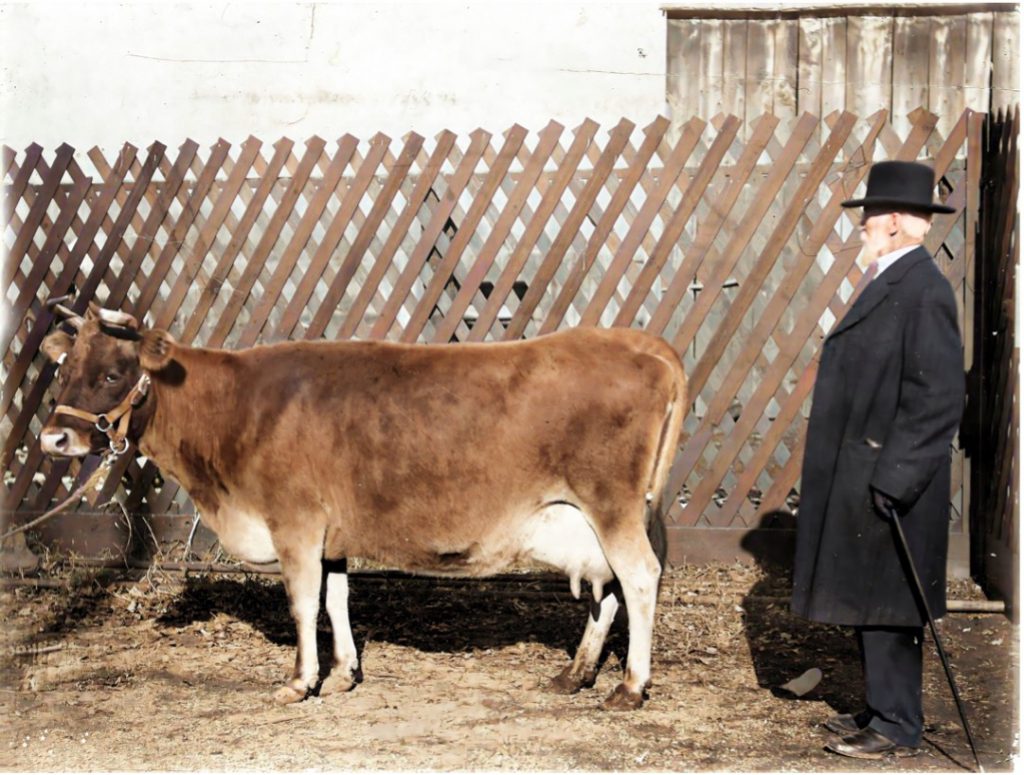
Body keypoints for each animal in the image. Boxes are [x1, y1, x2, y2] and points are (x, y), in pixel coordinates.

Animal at [39, 303, 684, 708]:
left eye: (113, 373)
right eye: (64, 370)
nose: (52, 439)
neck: (237, 409)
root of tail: (638, 343)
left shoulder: (295, 524)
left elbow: (303, 605)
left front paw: (301, 680)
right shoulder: (332, 535)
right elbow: (337, 599)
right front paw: (344, 673)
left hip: (611, 505)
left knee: (639, 577)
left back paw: (629, 687)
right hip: (597, 518)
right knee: (609, 588)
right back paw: (576, 673)